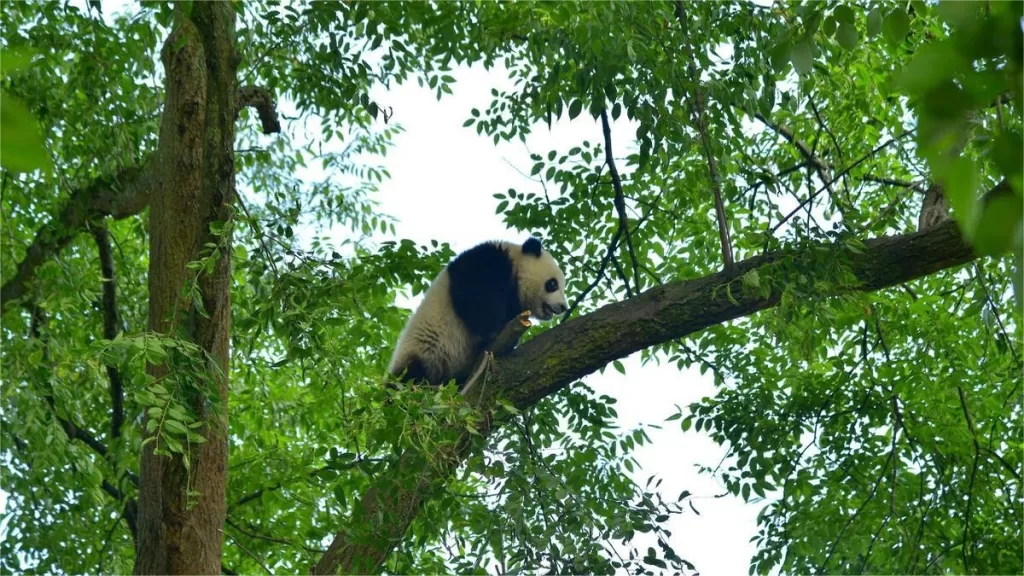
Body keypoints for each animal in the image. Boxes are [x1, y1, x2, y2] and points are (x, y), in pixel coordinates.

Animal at [388, 237, 569, 390]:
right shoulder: (484, 262)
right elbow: (474, 297)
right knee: (412, 376)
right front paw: (493, 331)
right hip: (424, 352)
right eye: (553, 284)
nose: (563, 307)